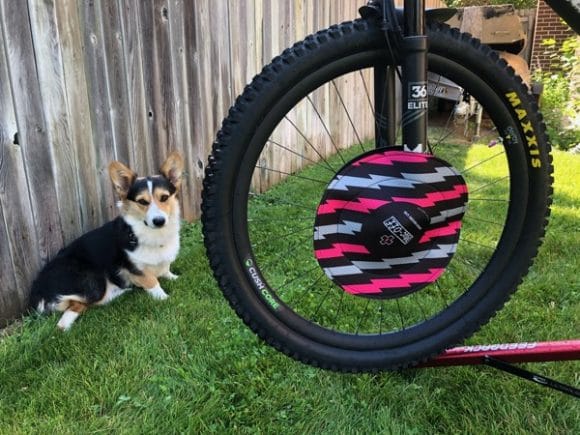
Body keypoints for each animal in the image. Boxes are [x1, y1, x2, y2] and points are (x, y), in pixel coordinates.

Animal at [28, 152, 184, 331]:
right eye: (142, 202)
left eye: (164, 197)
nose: (159, 221)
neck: (152, 234)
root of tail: (37, 291)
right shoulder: (134, 268)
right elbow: (152, 281)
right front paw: (163, 297)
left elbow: (165, 269)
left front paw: (174, 277)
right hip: (94, 281)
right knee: (72, 309)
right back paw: (65, 327)